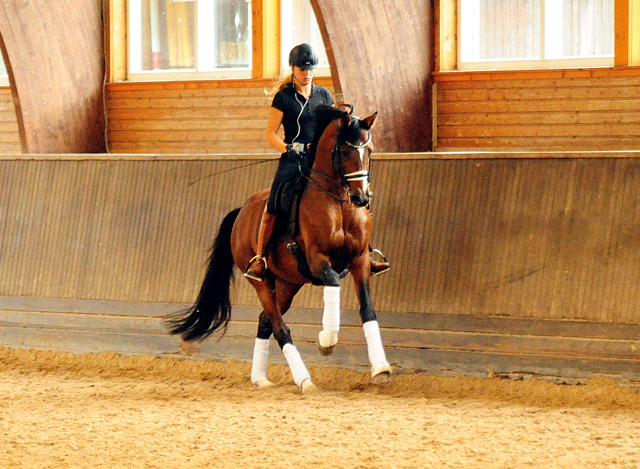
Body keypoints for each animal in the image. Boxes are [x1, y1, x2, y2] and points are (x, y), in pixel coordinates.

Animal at [165, 104, 390, 394]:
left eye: (369, 150)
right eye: (343, 151)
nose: (361, 198)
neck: (339, 204)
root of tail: (242, 212)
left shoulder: (359, 260)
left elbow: (368, 310)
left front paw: (381, 368)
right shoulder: (317, 259)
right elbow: (332, 284)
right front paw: (326, 339)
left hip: (287, 283)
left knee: (265, 321)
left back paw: (261, 378)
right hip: (261, 281)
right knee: (279, 327)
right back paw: (304, 380)